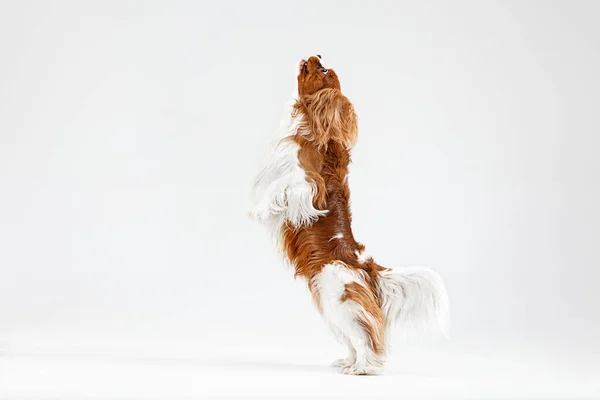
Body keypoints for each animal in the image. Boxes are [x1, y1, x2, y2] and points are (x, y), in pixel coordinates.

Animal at [250, 54, 450, 374]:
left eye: (322, 70)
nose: (317, 54)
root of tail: (365, 268)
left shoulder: (307, 186)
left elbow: (279, 188)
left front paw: (259, 210)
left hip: (342, 299)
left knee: (367, 336)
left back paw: (363, 368)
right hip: (331, 306)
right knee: (354, 338)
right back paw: (348, 361)